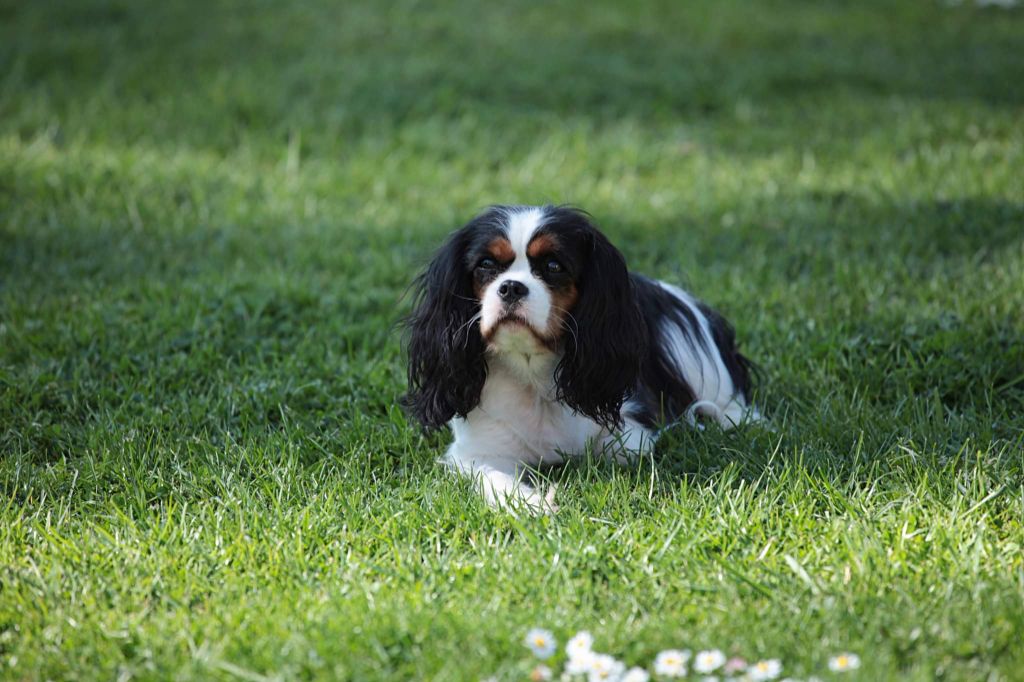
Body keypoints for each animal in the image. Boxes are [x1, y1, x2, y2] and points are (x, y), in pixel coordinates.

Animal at [403, 202, 757, 509]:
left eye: (553, 266)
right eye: (486, 265)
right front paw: (533, 505)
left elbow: (620, 451)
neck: (532, 373)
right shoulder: (475, 453)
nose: (511, 287)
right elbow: (494, 478)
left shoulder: (629, 435)